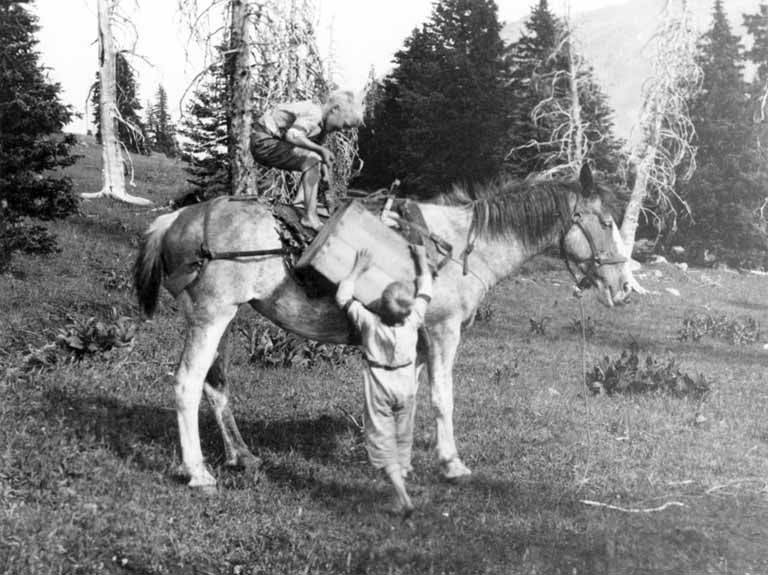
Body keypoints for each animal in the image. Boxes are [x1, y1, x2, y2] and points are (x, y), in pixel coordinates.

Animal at [135, 164, 632, 488]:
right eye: (607, 222)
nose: (625, 286)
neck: (458, 248)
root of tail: (179, 219)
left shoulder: (415, 340)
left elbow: (406, 397)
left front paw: (398, 459)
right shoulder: (443, 332)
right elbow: (442, 399)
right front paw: (451, 463)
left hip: (220, 318)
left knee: (215, 385)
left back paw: (241, 456)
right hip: (211, 316)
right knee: (187, 383)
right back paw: (198, 472)